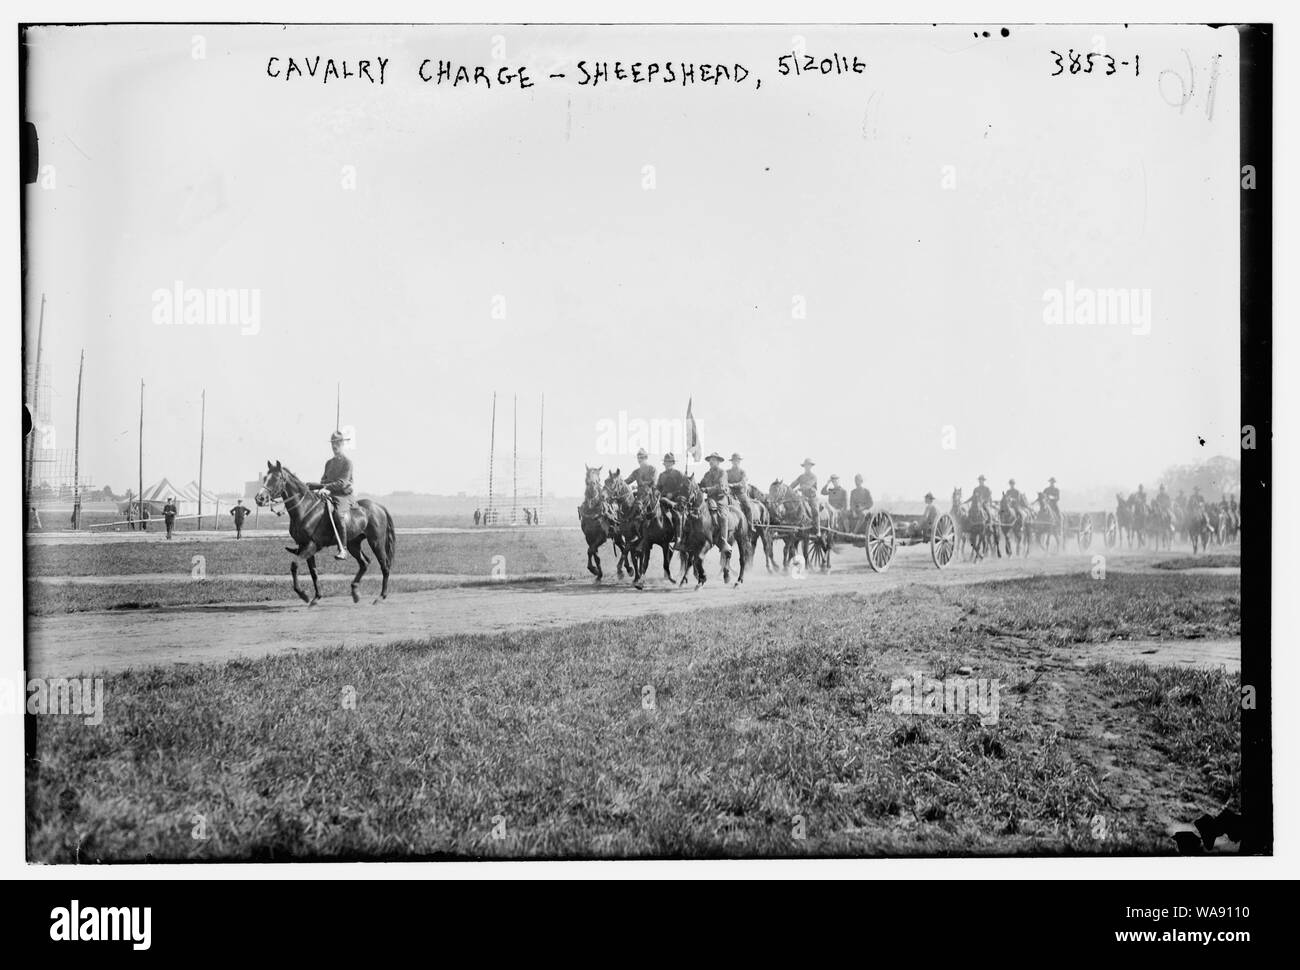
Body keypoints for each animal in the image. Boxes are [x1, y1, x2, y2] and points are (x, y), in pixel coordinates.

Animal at [253, 457, 392, 600]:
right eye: (265, 478)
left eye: (277, 478)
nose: (259, 498)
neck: (306, 509)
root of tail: (378, 506)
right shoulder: (303, 546)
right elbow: (313, 572)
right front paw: (316, 596)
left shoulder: (312, 545)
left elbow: (295, 564)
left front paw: (303, 594)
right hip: (353, 544)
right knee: (364, 563)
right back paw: (355, 591)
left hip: (376, 542)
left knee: (384, 566)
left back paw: (381, 595)